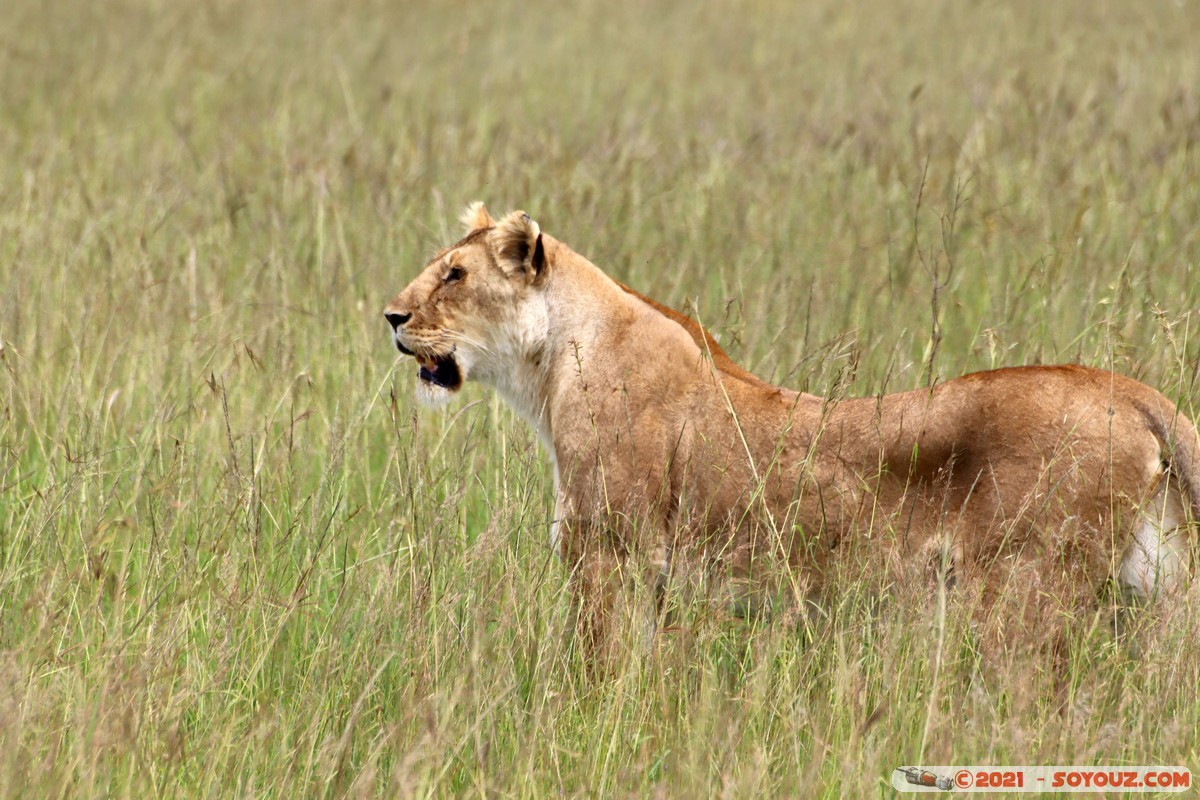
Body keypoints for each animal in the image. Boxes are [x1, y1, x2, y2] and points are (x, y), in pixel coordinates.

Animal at [384, 202, 1199, 657]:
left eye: (454, 275)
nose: (391, 315)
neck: (550, 366)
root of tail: (1129, 388)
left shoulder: (609, 559)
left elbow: (597, 674)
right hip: (1156, 583)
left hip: (1026, 593)